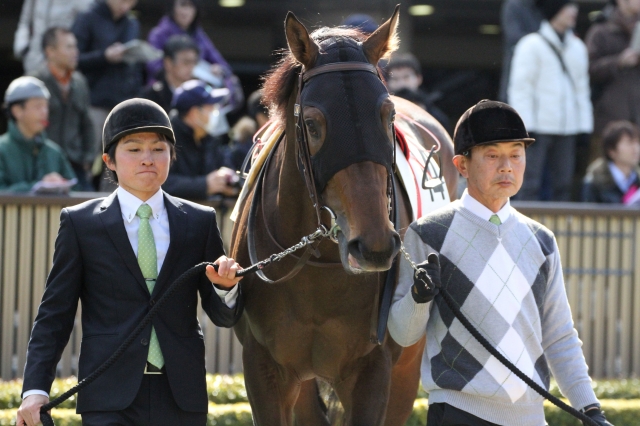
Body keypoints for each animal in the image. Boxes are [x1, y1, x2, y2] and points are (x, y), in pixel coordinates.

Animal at [229, 8, 456, 424]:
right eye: (313, 124)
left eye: (387, 115)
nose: (374, 245)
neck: (320, 267)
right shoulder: (264, 367)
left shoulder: (374, 368)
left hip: (407, 366)